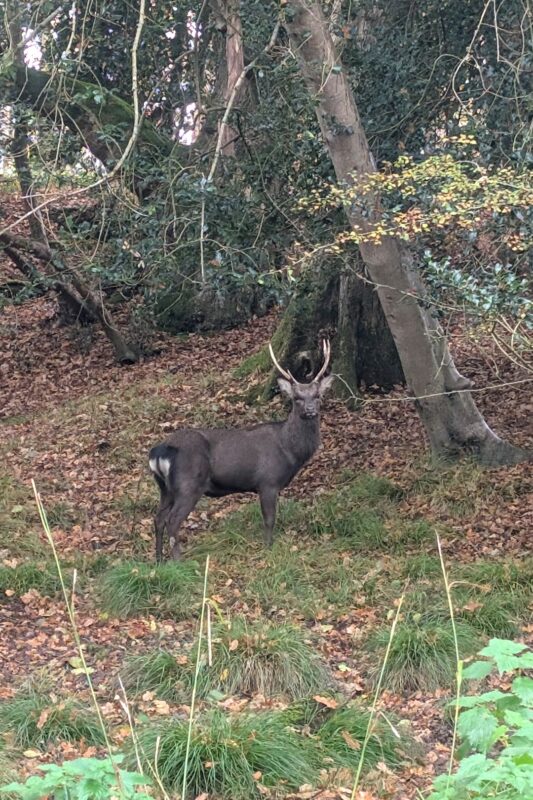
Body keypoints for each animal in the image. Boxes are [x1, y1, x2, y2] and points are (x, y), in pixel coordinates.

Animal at [148, 340, 333, 561]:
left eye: (318, 395)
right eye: (297, 398)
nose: (311, 410)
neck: (290, 451)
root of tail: (159, 451)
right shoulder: (268, 482)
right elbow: (270, 519)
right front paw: (268, 549)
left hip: (165, 488)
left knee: (158, 518)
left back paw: (159, 560)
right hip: (188, 484)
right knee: (172, 520)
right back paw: (179, 561)